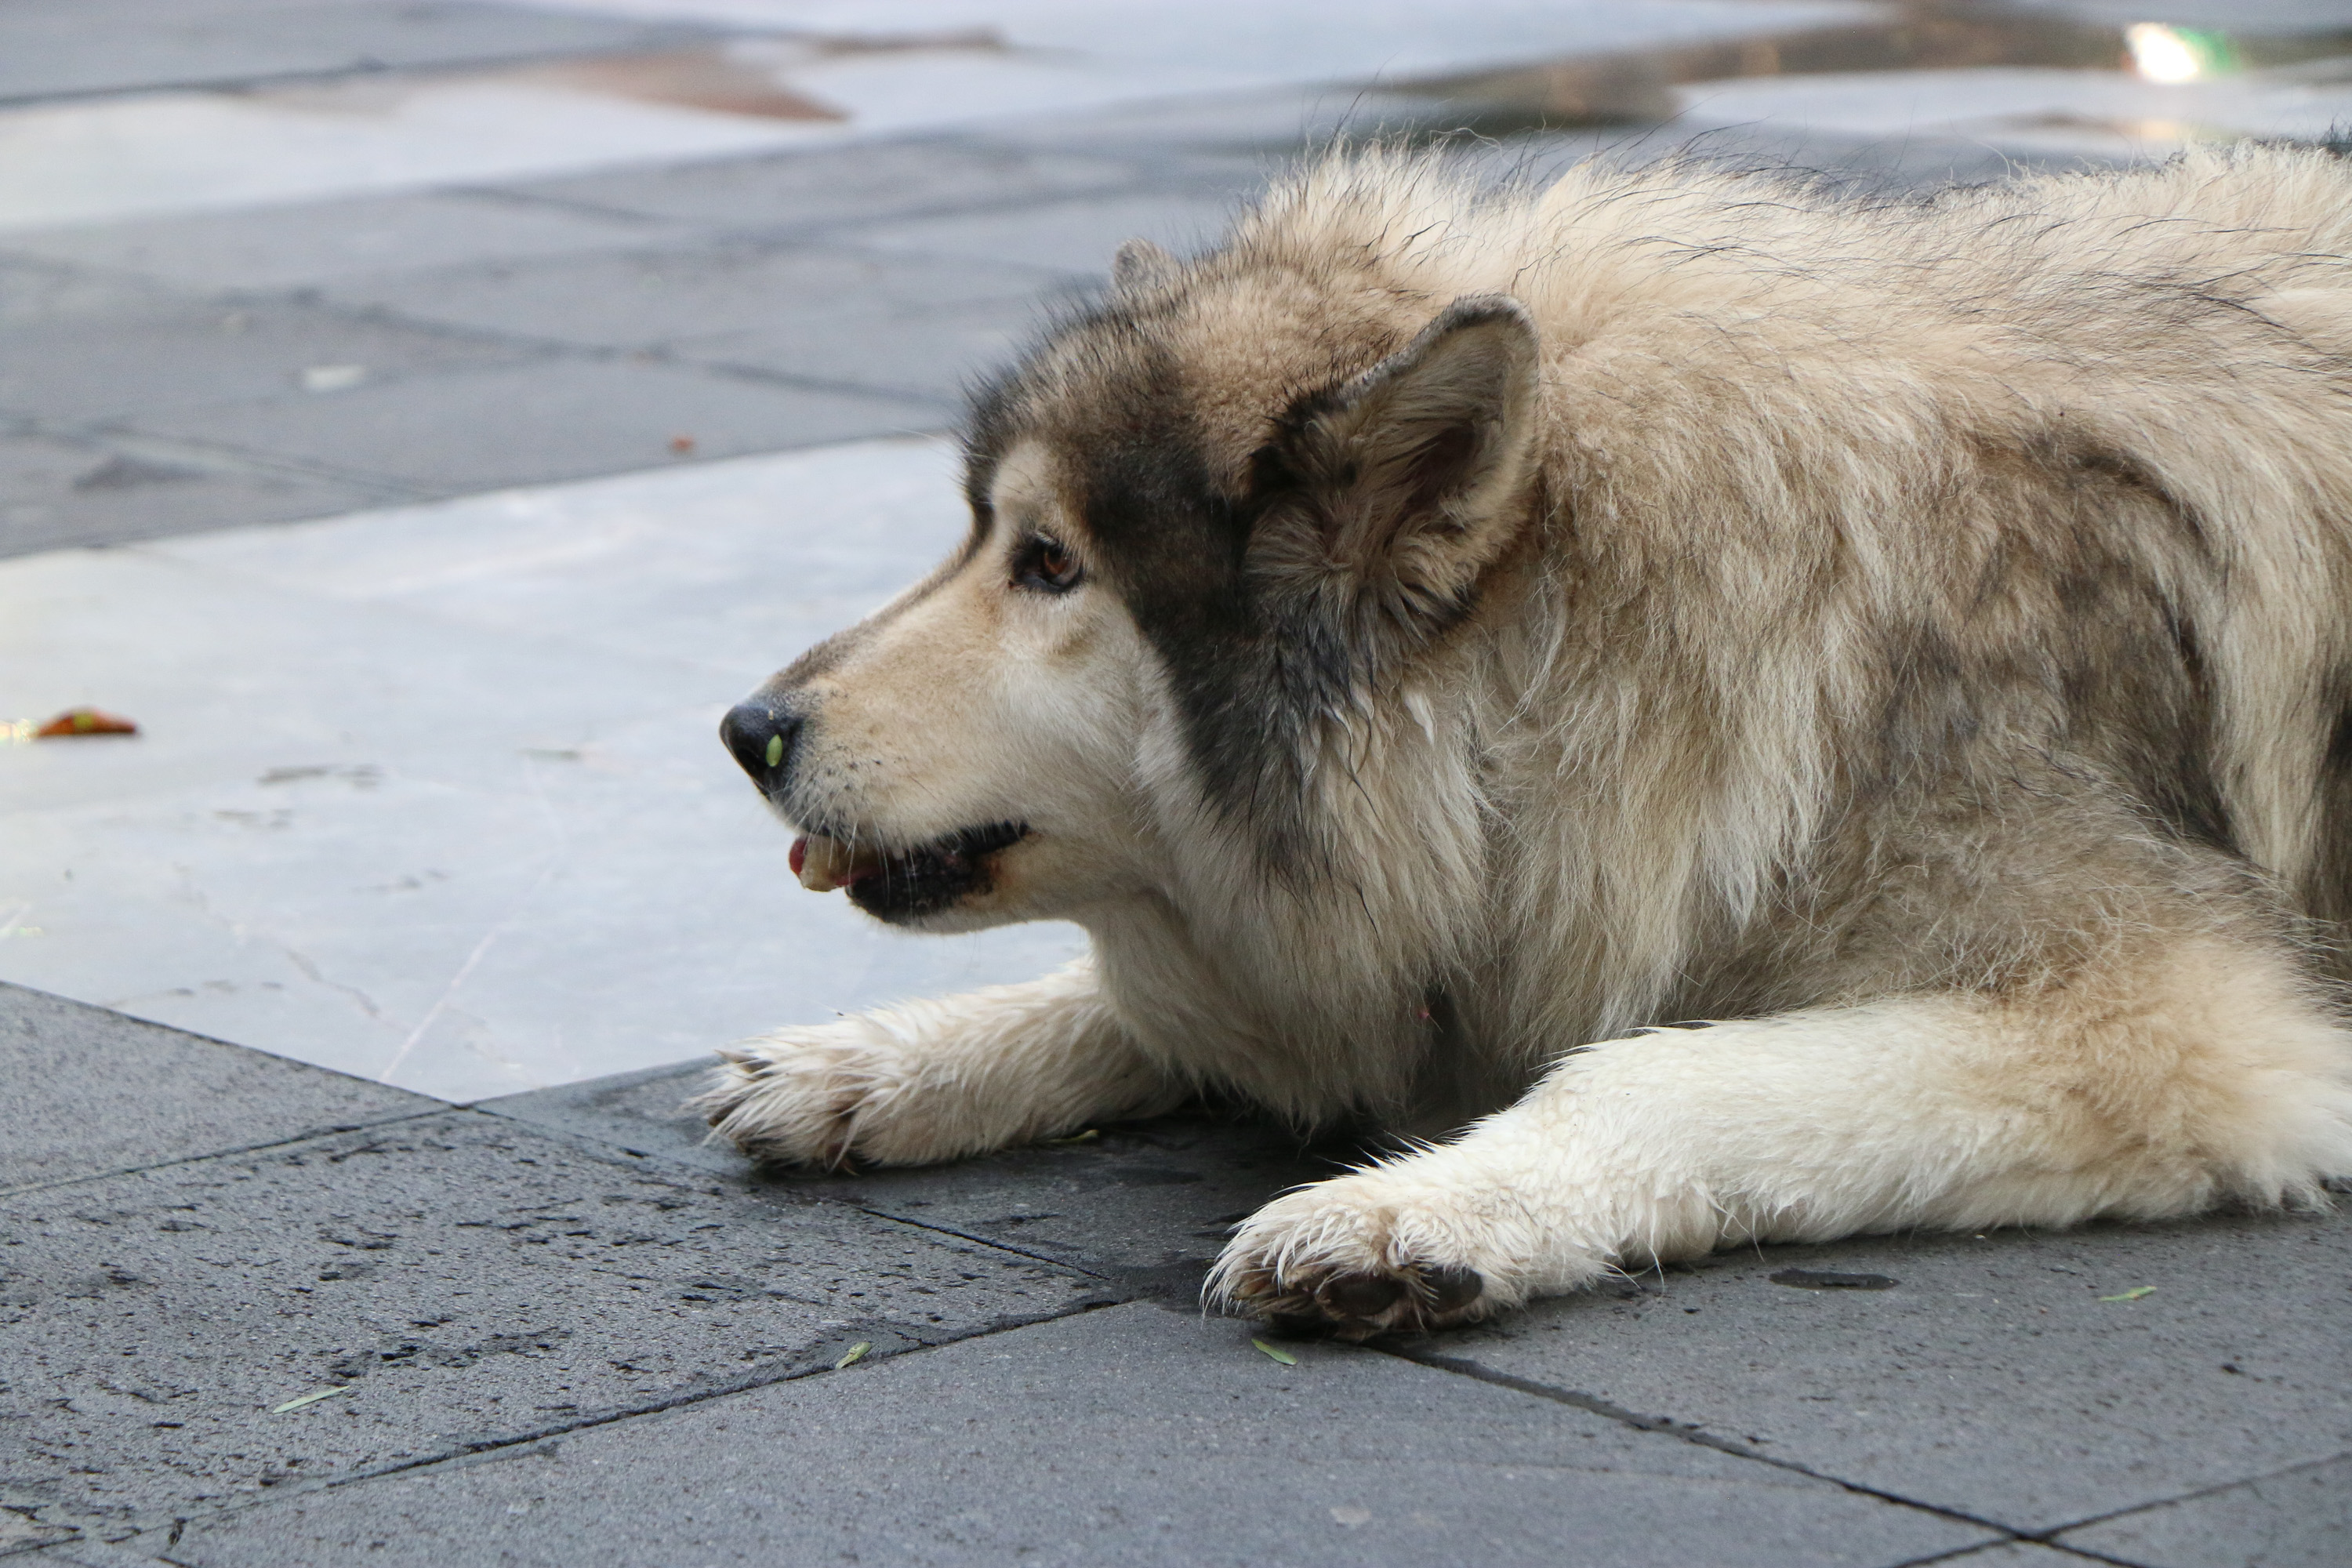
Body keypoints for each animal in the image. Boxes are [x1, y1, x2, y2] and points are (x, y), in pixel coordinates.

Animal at [696, 143, 2352, 1335]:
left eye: (1049, 564)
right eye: (983, 536)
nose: (746, 730)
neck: (1579, 661)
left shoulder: (2183, 1026)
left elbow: (1648, 1073)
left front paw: (1422, 1209)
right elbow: (1128, 1002)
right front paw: (878, 1063)